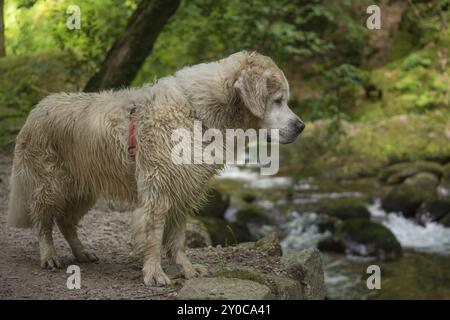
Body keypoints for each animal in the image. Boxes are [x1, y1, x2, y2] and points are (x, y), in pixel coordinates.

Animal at [7, 51, 304, 286]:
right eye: (278, 100)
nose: (301, 126)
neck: (195, 113)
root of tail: (37, 108)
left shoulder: (183, 192)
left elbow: (177, 239)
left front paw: (186, 268)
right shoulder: (158, 192)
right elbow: (153, 236)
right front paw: (154, 273)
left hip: (84, 188)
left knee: (66, 221)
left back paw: (82, 252)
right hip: (50, 185)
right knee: (43, 220)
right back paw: (49, 255)